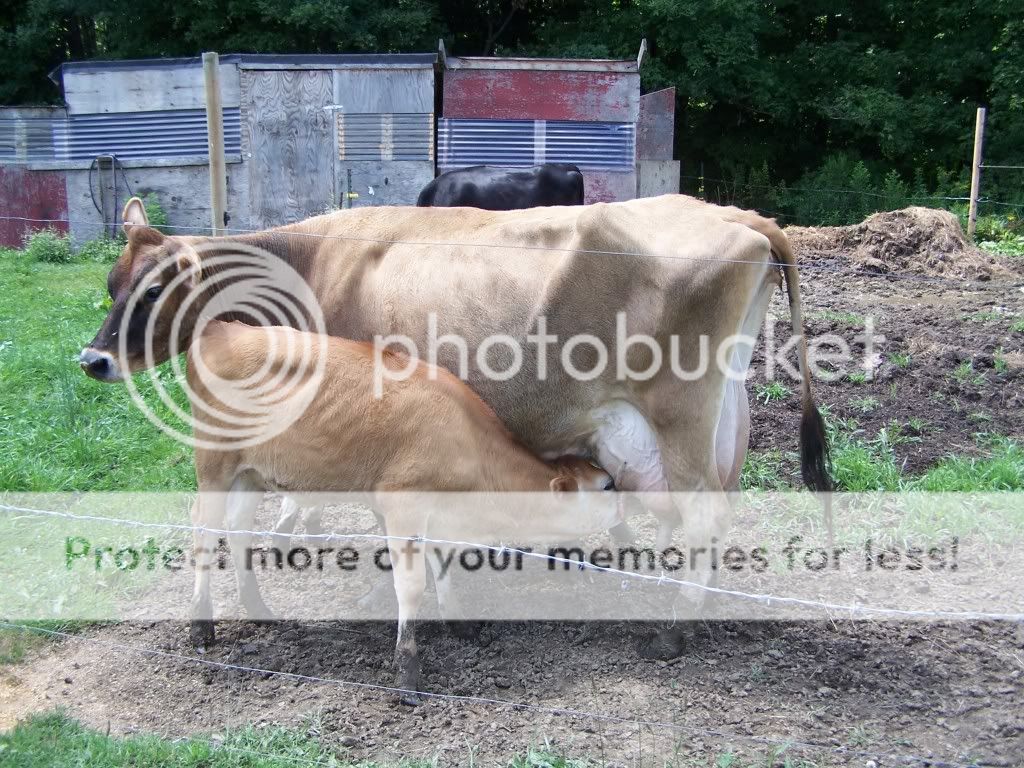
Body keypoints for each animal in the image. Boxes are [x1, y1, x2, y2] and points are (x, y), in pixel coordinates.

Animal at [80, 194, 831, 659]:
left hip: (679, 418)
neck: (312, 265)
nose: (92, 360)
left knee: (702, 518)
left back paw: (673, 632)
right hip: (723, 420)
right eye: (112, 284)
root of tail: (737, 214)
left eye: (154, 290)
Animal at [187, 320, 622, 704]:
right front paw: (407, 671)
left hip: (251, 473)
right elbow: (411, 586)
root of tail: (226, 329)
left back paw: (258, 609)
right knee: (204, 534)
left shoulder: (436, 515)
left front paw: (459, 624)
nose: (624, 505)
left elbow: (442, 567)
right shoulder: (402, 504)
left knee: (238, 529)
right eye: (606, 485)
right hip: (214, 464)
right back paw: (200, 627)